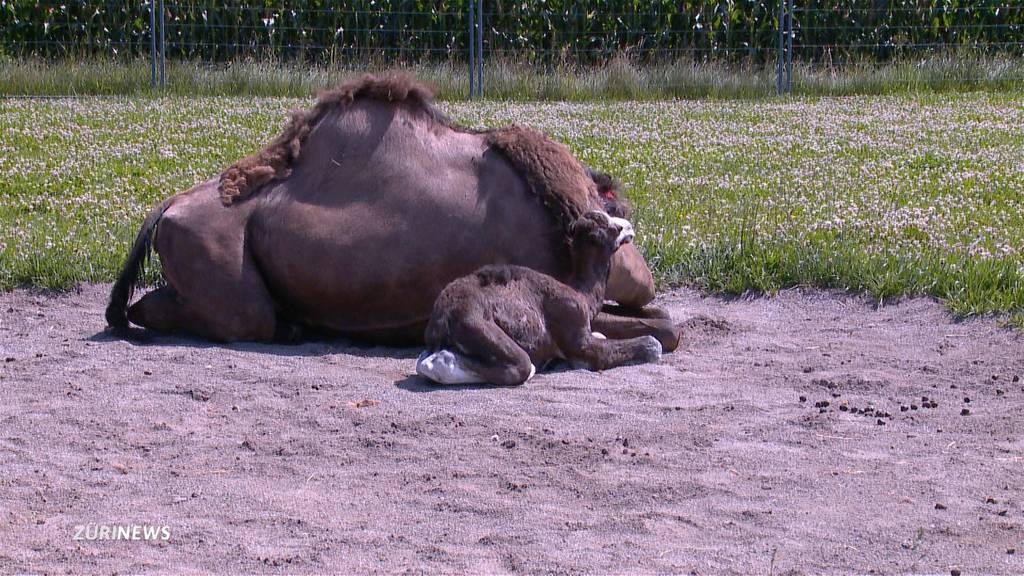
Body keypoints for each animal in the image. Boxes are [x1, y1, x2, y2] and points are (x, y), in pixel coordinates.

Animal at [105, 73, 679, 348]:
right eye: (620, 217)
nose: (643, 275)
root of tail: (167, 206)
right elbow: (664, 329)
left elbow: (665, 325)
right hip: (224, 270)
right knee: (222, 317)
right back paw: (290, 328)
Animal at [415, 211, 663, 385]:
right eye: (615, 228)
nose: (629, 226)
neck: (580, 294)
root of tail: (443, 319)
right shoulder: (576, 331)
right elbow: (650, 343)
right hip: (478, 325)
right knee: (520, 365)